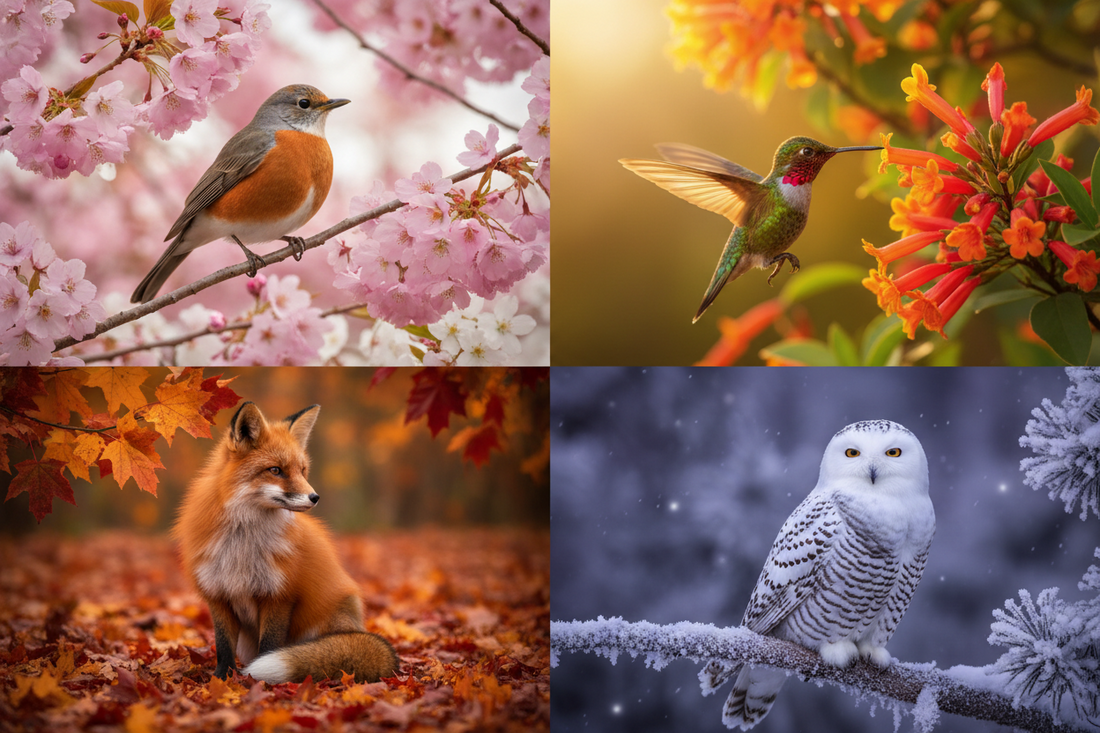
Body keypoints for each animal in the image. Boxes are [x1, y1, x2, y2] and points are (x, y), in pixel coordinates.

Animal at [173, 401, 398, 684]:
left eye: (302, 471)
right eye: (275, 470)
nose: (315, 497)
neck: (242, 544)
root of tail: (356, 624)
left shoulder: (279, 594)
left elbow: (269, 645)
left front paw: (256, 680)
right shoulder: (218, 594)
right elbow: (223, 646)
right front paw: (222, 678)